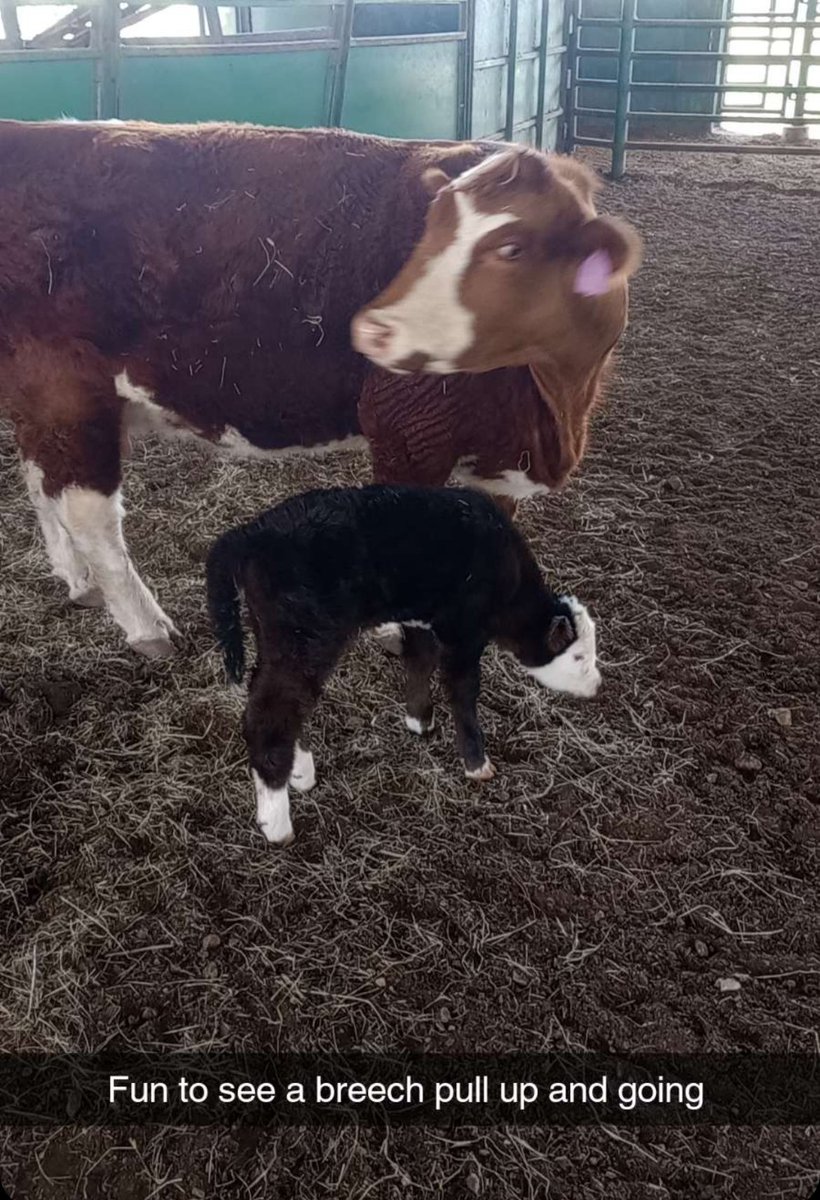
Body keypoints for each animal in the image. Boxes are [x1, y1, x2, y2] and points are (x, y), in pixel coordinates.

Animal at [0, 119, 643, 657]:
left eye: (512, 246)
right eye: (429, 228)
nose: (374, 327)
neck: (556, 404)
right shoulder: (407, 430)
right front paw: (400, 630)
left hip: (42, 403)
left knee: (40, 480)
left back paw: (78, 581)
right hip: (67, 393)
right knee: (88, 511)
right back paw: (147, 626)